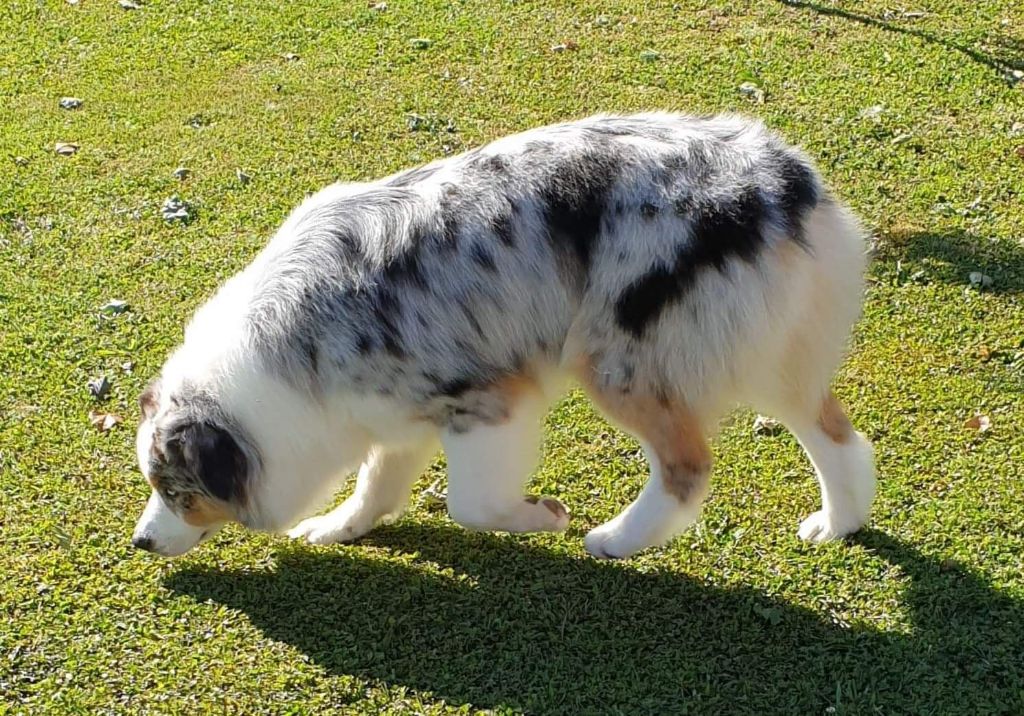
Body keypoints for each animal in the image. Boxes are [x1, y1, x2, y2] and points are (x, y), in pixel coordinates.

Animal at [132, 112, 876, 561]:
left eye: (178, 491)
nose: (140, 542)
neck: (281, 356)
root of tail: (783, 180)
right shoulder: (395, 413)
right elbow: (377, 484)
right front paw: (339, 526)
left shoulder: (482, 400)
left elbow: (471, 504)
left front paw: (542, 515)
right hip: (773, 354)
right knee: (840, 437)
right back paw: (839, 522)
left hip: (619, 359)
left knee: (687, 466)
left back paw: (617, 539)